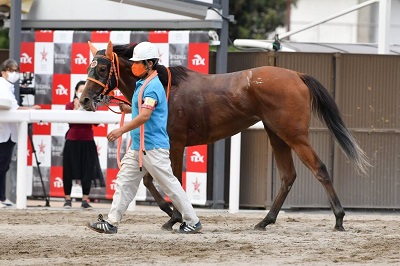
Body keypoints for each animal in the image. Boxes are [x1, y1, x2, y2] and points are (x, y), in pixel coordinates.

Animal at [80, 40, 368, 232]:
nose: (84, 99)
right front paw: (172, 215)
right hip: (276, 134)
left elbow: (170, 180)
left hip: (294, 134)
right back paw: (265, 221)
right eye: (90, 68)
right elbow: (151, 180)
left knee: (319, 169)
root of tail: (296, 75)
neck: (163, 84)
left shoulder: (176, 143)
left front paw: (177, 216)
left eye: (102, 69)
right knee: (288, 176)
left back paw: (339, 219)